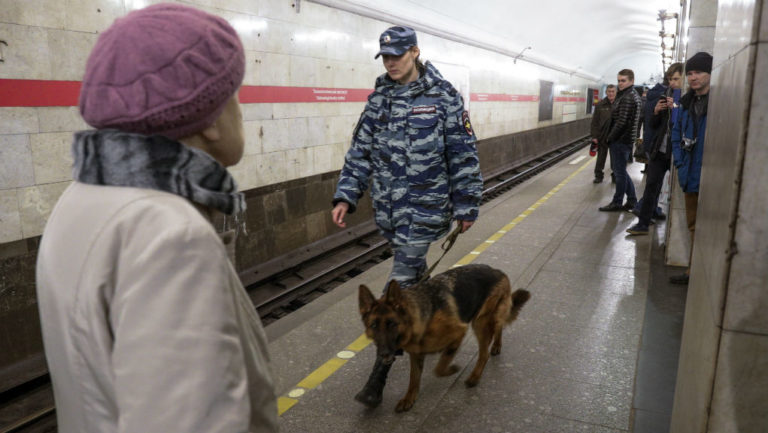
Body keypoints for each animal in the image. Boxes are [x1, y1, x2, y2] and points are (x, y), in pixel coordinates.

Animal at [358, 262, 528, 410]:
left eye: (392, 324)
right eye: (373, 326)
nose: (383, 354)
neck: (419, 319)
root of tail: (498, 271)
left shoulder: (459, 332)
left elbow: (439, 368)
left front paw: (452, 369)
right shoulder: (416, 354)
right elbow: (414, 379)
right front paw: (409, 398)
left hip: (480, 323)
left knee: (484, 353)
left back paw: (474, 376)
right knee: (499, 326)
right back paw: (496, 345)